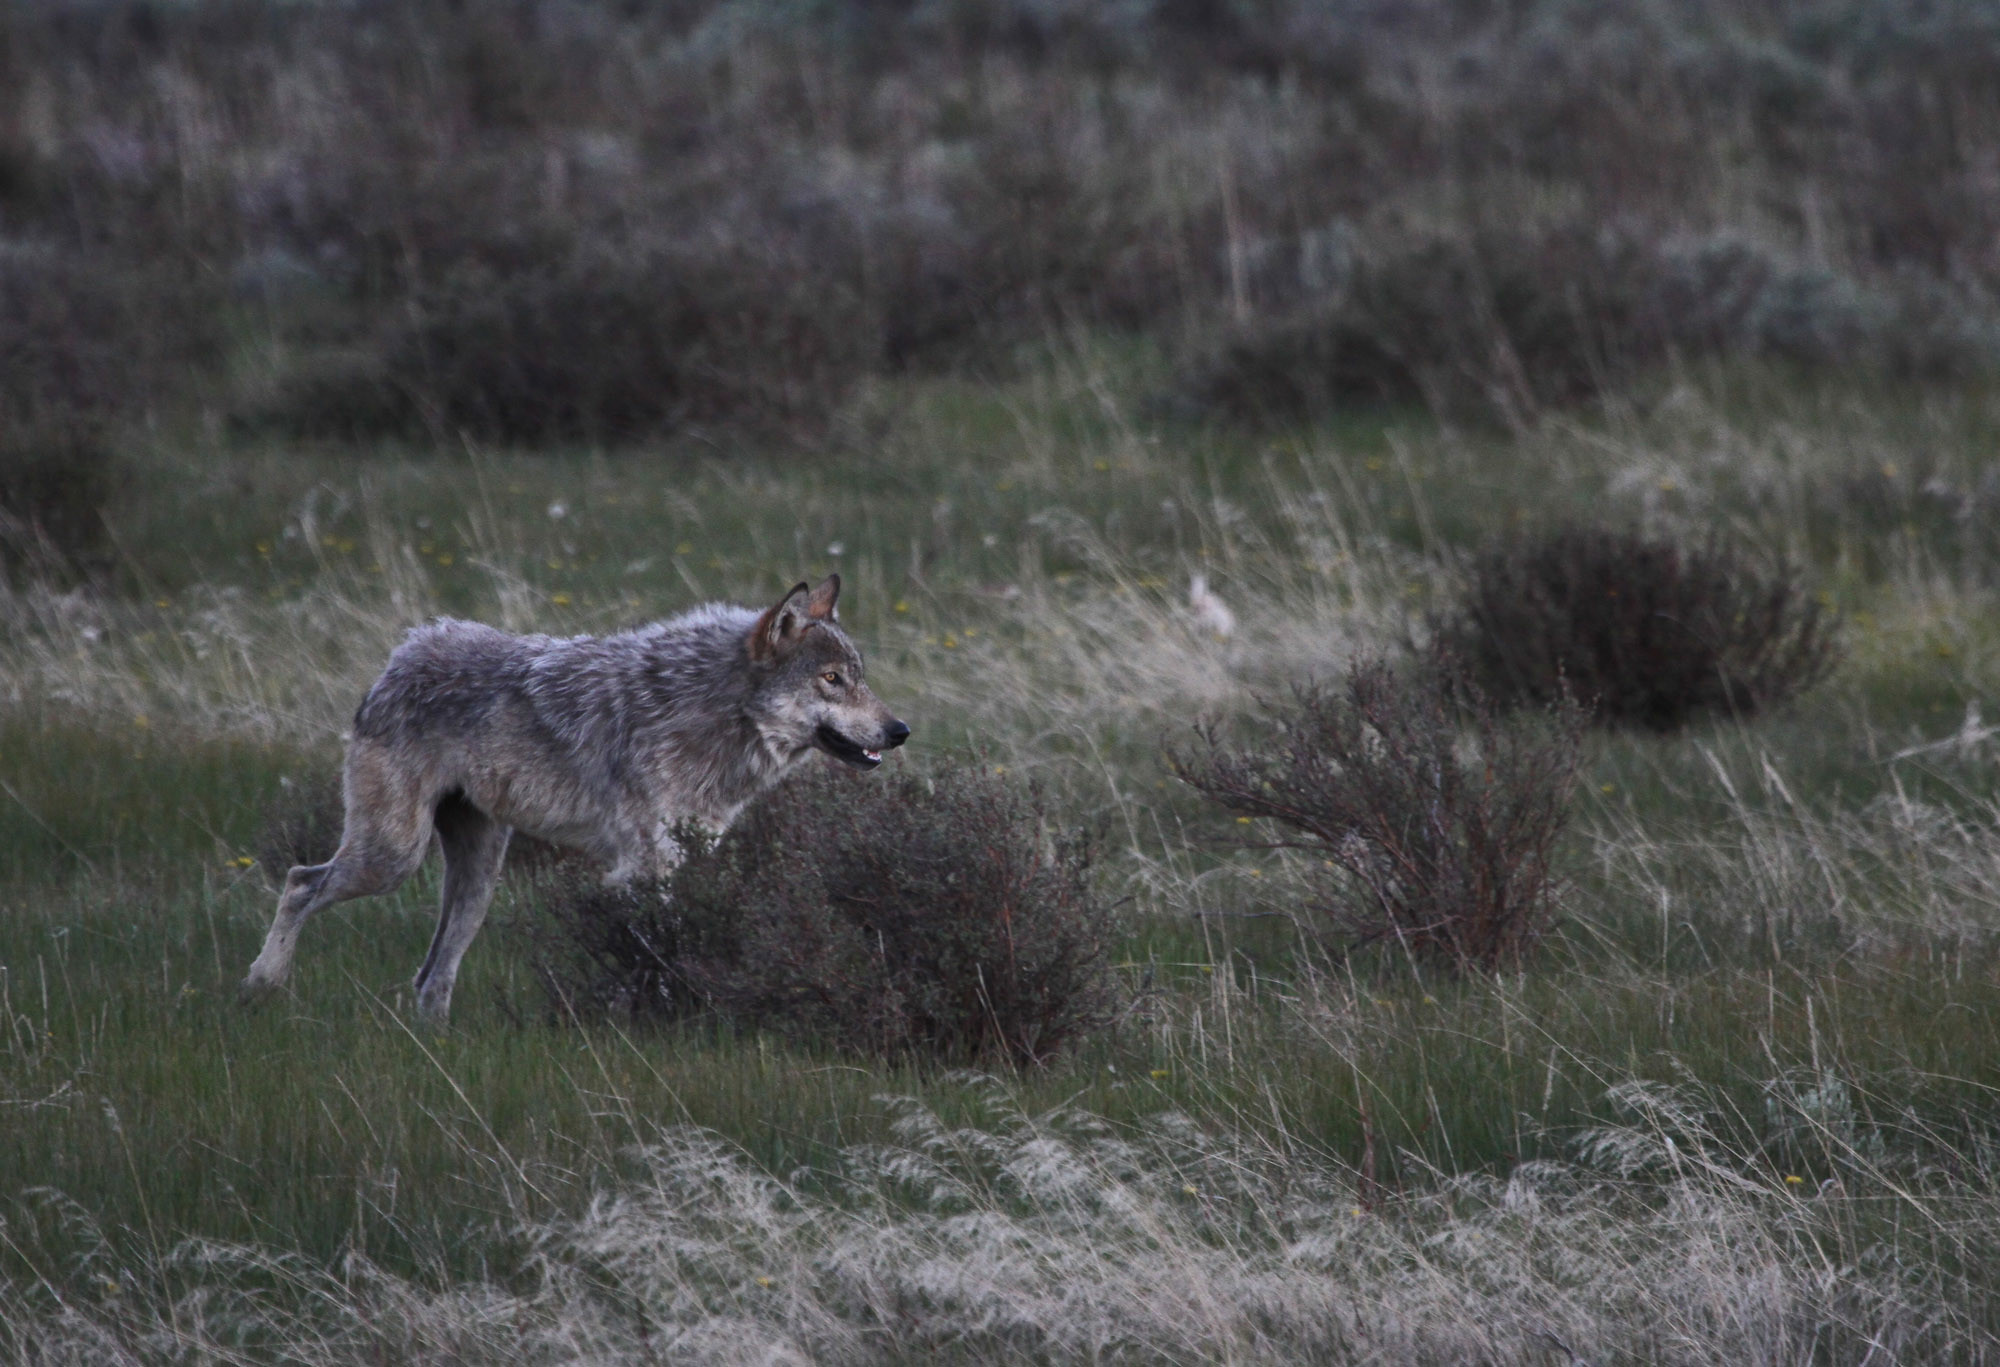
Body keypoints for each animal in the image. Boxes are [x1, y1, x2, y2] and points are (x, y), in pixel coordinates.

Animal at [239, 575, 907, 1024]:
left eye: (860, 678)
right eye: (832, 680)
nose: (900, 730)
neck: (713, 712)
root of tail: (404, 651)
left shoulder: (686, 858)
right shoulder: (645, 867)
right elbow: (657, 949)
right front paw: (659, 1018)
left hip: (478, 879)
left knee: (431, 974)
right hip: (393, 858)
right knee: (300, 881)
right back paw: (263, 983)